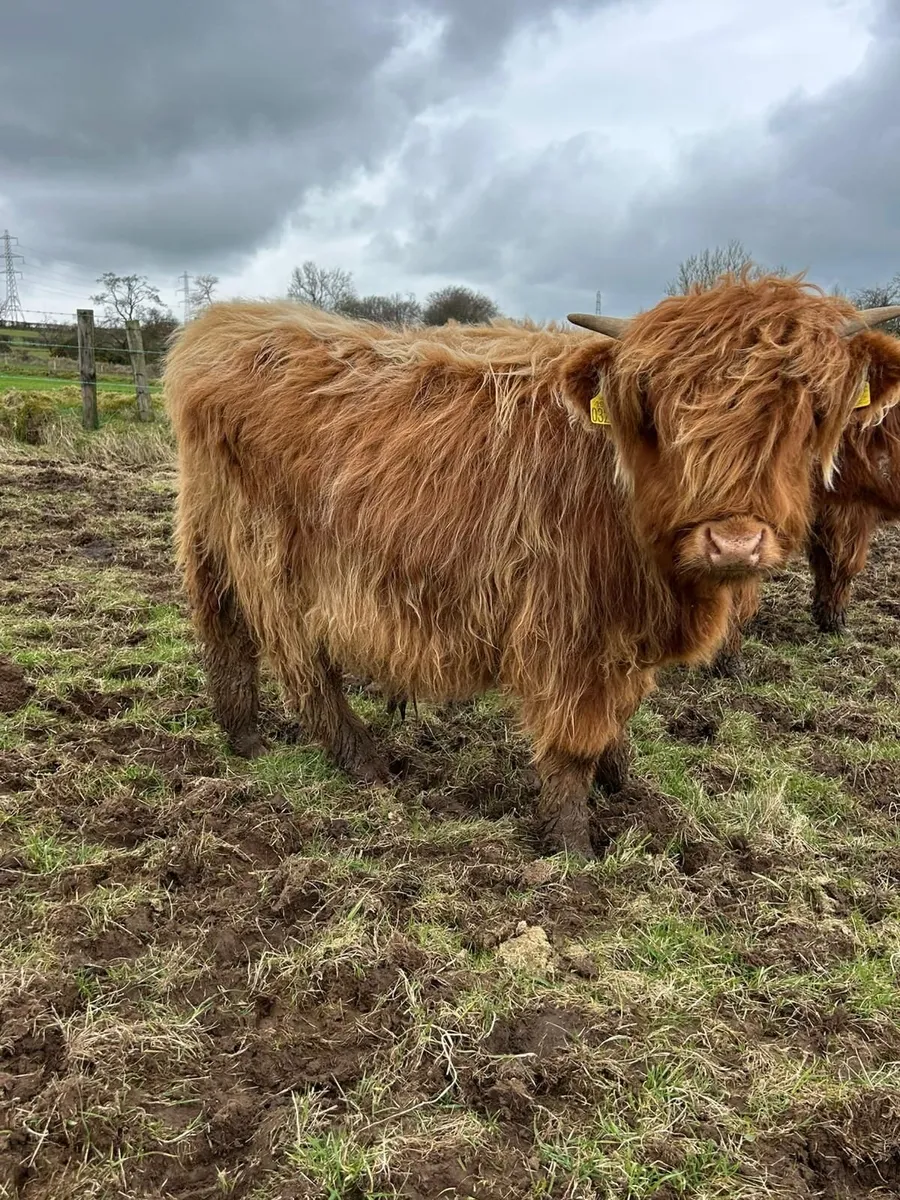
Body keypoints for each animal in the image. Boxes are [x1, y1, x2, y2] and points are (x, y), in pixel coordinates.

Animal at [164, 276, 900, 858]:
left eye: (810, 412)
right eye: (656, 410)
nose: (734, 543)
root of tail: (230, 322)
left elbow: (618, 718)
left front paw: (627, 786)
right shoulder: (568, 624)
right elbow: (573, 738)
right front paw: (574, 847)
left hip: (210, 537)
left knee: (223, 634)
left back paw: (245, 739)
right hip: (273, 557)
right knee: (301, 663)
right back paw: (366, 764)